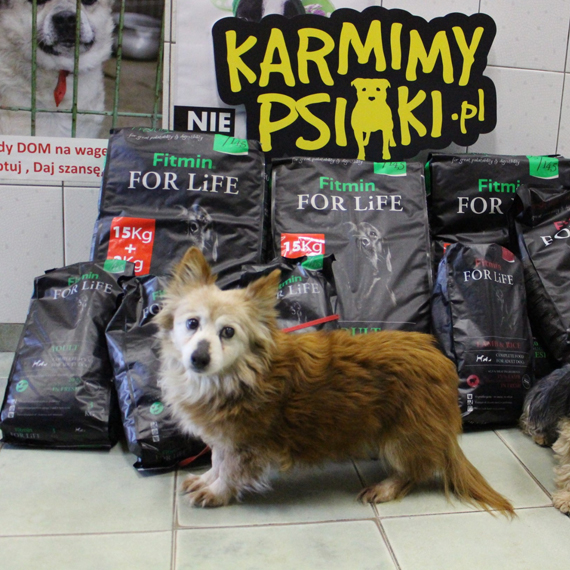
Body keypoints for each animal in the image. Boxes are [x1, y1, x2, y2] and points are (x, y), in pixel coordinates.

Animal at [156, 246, 514, 515]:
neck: (237, 373)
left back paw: (386, 487)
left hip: (401, 440)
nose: (198, 358)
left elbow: (229, 470)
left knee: (415, 472)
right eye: (191, 323)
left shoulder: (243, 444)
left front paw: (216, 492)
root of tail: (440, 360)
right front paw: (206, 479)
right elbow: (217, 461)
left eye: (228, 332)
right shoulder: (224, 439)